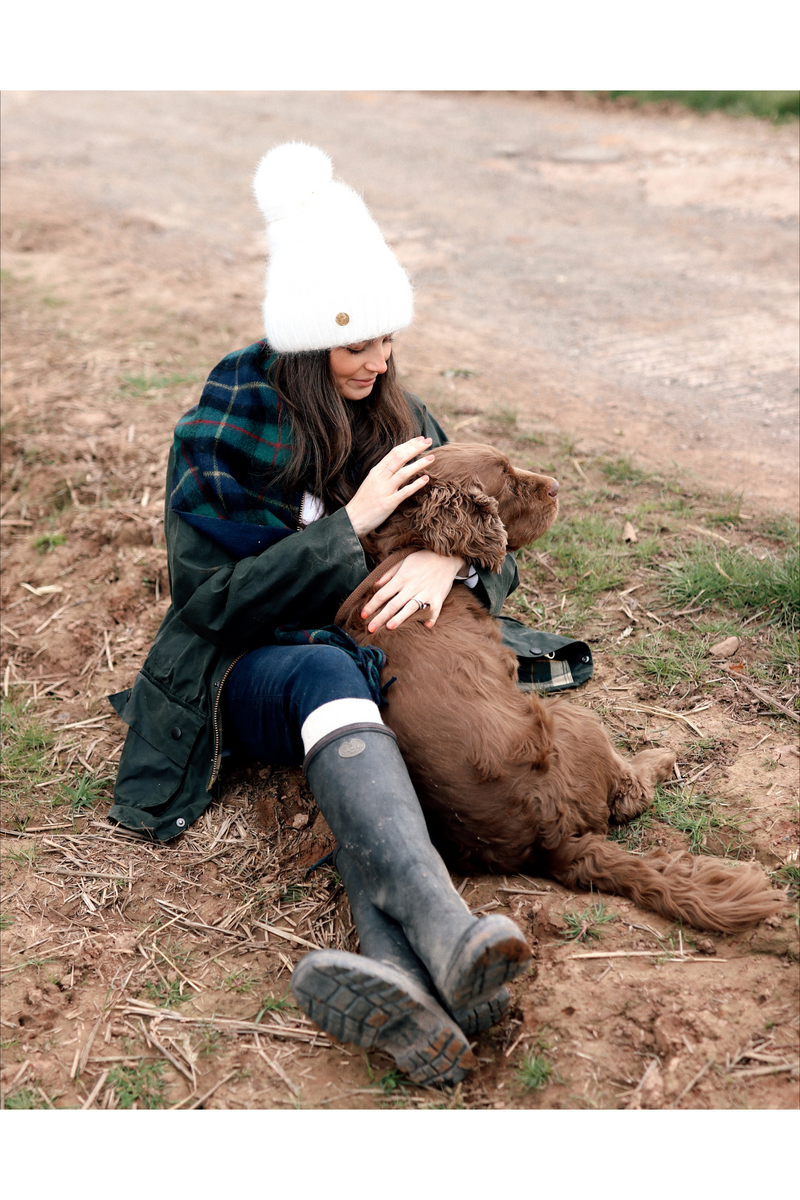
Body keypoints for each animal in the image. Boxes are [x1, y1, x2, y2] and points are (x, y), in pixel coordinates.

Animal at [338, 446, 782, 931]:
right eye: (507, 479)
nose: (555, 485)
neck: (404, 554)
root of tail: (554, 843)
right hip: (577, 721)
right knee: (631, 793)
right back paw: (660, 759)